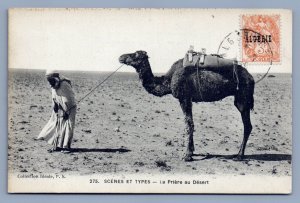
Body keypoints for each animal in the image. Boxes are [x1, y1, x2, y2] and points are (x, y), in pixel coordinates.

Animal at [118, 50, 254, 162]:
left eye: (135, 54)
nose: (121, 57)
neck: (167, 81)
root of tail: (251, 77)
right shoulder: (188, 99)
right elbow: (189, 123)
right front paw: (192, 152)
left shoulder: (184, 98)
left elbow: (188, 124)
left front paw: (187, 155)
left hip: (243, 98)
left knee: (247, 125)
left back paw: (239, 155)